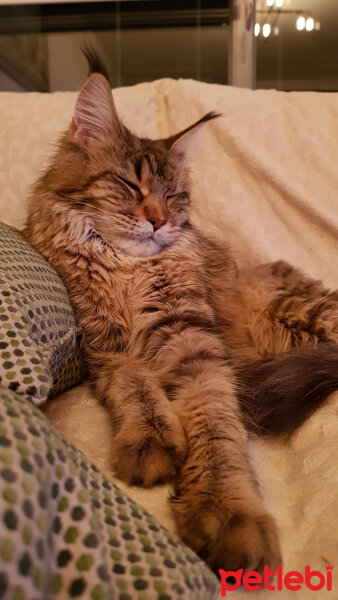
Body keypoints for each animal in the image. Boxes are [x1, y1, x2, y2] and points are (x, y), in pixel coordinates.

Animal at [22, 49, 336, 576]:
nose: (159, 221)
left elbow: (215, 421)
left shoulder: (192, 337)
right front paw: (152, 440)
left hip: (300, 311)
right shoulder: (106, 349)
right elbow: (139, 389)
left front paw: (227, 509)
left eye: (173, 196)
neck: (125, 269)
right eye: (130, 185)